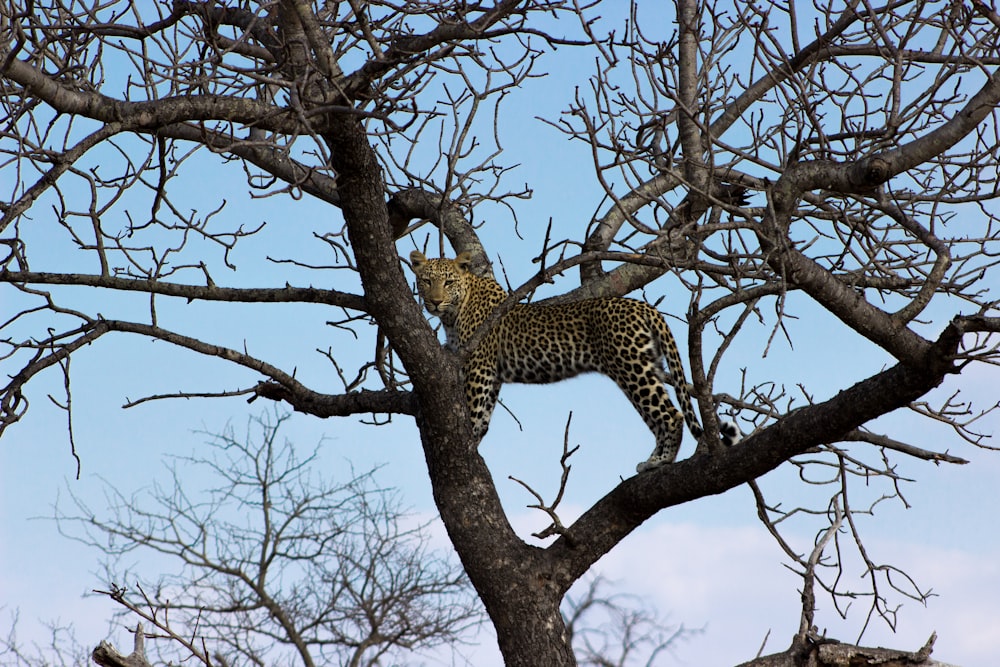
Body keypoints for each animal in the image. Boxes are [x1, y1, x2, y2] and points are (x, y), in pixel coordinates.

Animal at [406, 248, 736, 472]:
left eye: (448, 282)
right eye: (426, 281)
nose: (434, 301)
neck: (454, 313)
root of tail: (644, 307)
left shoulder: (479, 367)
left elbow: (474, 411)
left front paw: (467, 442)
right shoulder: (493, 375)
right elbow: (485, 416)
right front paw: (475, 442)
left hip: (630, 367)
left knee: (670, 414)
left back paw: (658, 462)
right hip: (646, 362)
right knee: (660, 414)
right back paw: (655, 459)